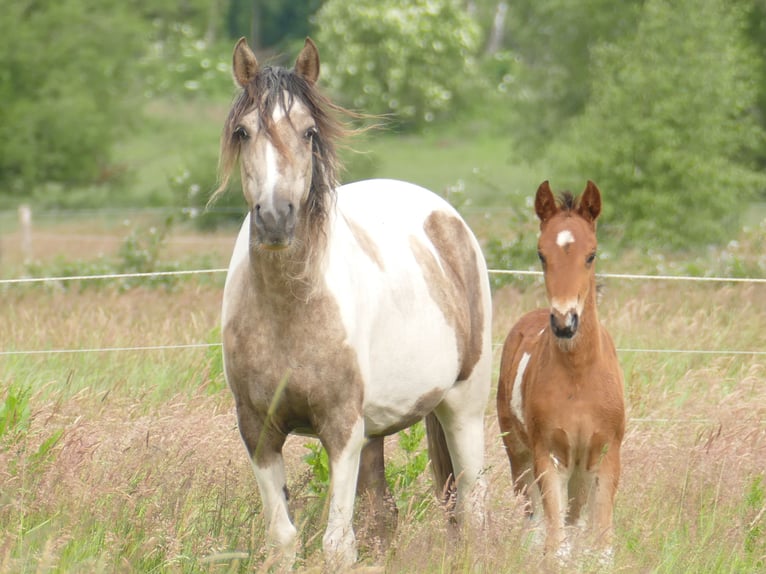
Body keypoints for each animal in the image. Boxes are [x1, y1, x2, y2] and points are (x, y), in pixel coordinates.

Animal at [216, 37, 492, 567]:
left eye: (308, 132)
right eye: (243, 132)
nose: (276, 218)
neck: (289, 311)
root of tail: (448, 220)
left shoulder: (341, 428)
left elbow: (337, 545)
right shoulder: (258, 431)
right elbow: (284, 537)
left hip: (462, 409)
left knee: (471, 510)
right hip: (375, 434)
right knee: (385, 517)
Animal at [496, 180, 625, 560]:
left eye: (591, 254)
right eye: (541, 254)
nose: (565, 322)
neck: (579, 376)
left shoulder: (606, 454)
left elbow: (601, 545)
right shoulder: (548, 456)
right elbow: (556, 545)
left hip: (580, 470)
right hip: (520, 456)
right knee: (535, 523)